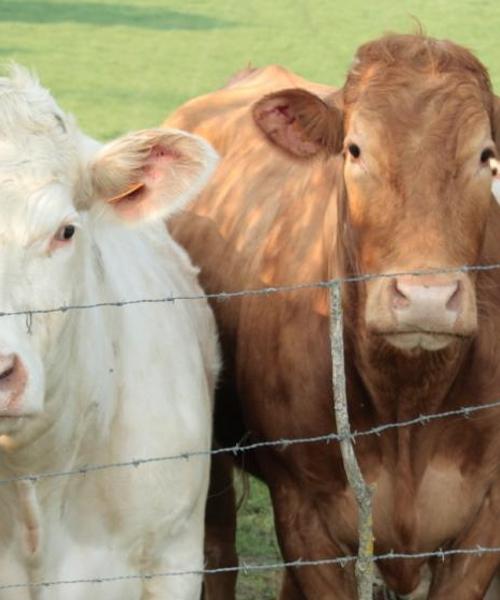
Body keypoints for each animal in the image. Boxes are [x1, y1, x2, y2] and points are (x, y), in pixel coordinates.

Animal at [167, 35, 500, 596]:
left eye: (486, 156)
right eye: (355, 150)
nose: (427, 296)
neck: (407, 401)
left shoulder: (483, 525)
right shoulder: (303, 513)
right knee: (218, 555)